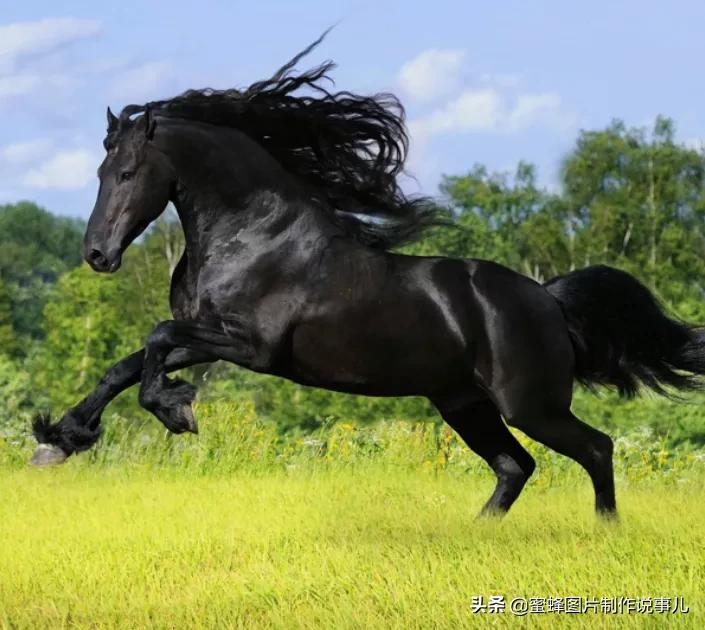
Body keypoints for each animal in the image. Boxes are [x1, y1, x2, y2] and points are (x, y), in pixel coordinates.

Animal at [31, 34, 704, 520]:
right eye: (98, 171)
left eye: (125, 173)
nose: (97, 254)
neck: (253, 235)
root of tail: (546, 298)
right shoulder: (210, 338)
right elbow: (128, 362)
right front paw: (59, 438)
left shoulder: (251, 347)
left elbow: (154, 339)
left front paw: (176, 412)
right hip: (465, 404)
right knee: (516, 468)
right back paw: (474, 534)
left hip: (529, 404)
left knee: (594, 448)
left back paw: (604, 531)